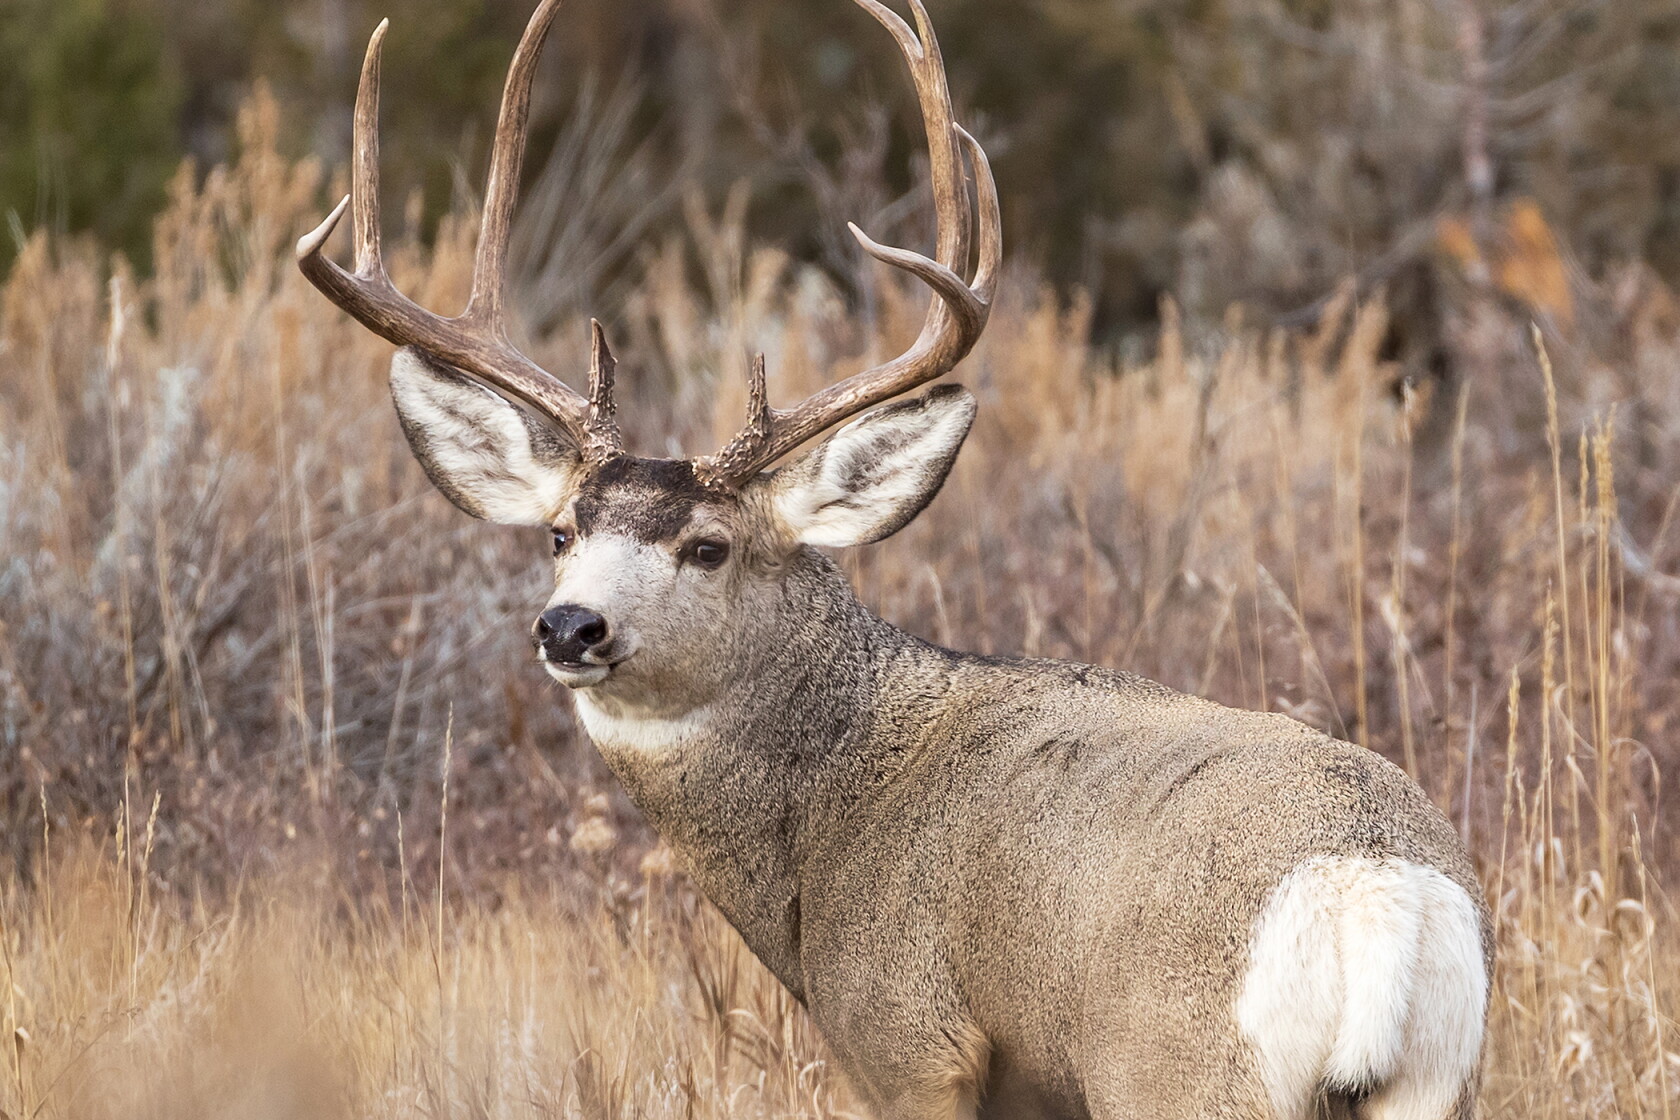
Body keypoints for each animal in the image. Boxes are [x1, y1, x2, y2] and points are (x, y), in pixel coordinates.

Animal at [297, 1, 1492, 1117]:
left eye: (709, 546)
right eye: (559, 534)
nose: (570, 626)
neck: (825, 822)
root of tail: (1379, 899)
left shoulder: (907, 1038)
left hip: (1176, 1071)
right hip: (1437, 1082)